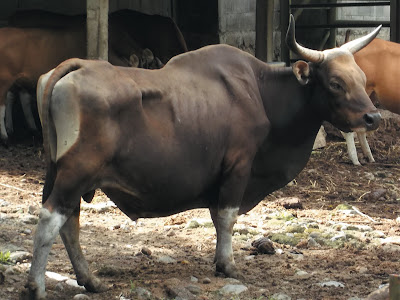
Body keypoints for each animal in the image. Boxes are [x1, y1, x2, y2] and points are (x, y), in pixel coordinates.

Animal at [21, 17, 382, 300]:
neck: (261, 91)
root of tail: (76, 66)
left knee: (69, 222)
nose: (373, 117)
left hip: (61, 173)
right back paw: (37, 285)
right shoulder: (239, 165)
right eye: (336, 83)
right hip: (77, 172)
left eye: (362, 80)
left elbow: (216, 215)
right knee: (51, 218)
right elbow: (227, 217)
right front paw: (228, 265)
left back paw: (90, 280)